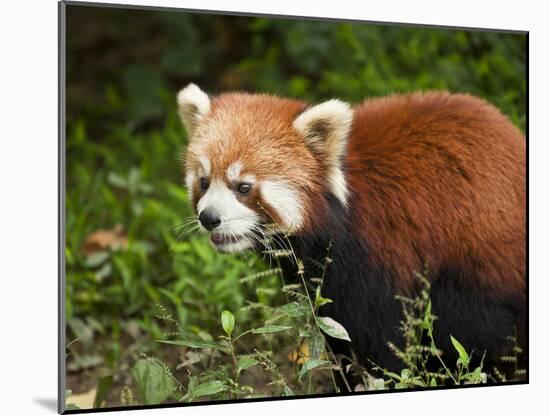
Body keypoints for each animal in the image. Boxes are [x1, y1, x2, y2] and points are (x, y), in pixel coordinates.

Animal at [179, 83, 528, 376]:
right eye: (204, 181)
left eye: (243, 187)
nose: (209, 218)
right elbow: (336, 330)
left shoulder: (381, 252)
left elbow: (383, 339)